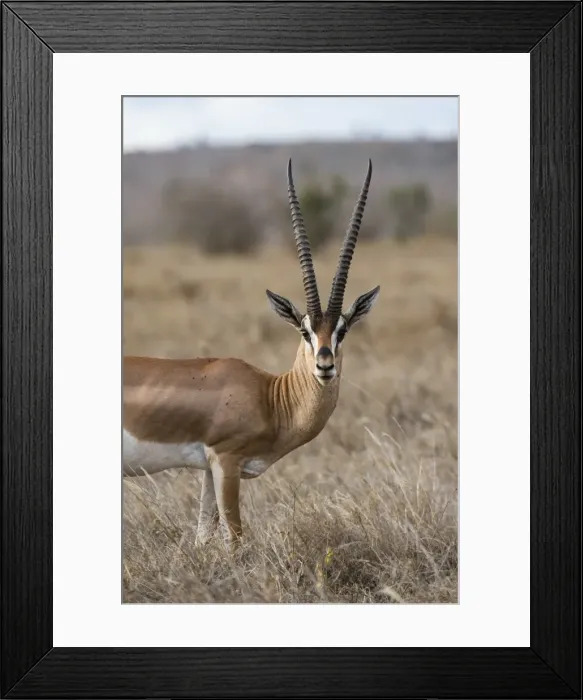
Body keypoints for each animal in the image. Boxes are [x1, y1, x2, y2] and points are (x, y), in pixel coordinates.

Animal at [123, 159, 380, 549]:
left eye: (343, 329)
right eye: (304, 330)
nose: (325, 365)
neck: (270, 397)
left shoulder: (208, 469)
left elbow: (203, 535)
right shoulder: (226, 461)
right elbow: (235, 539)